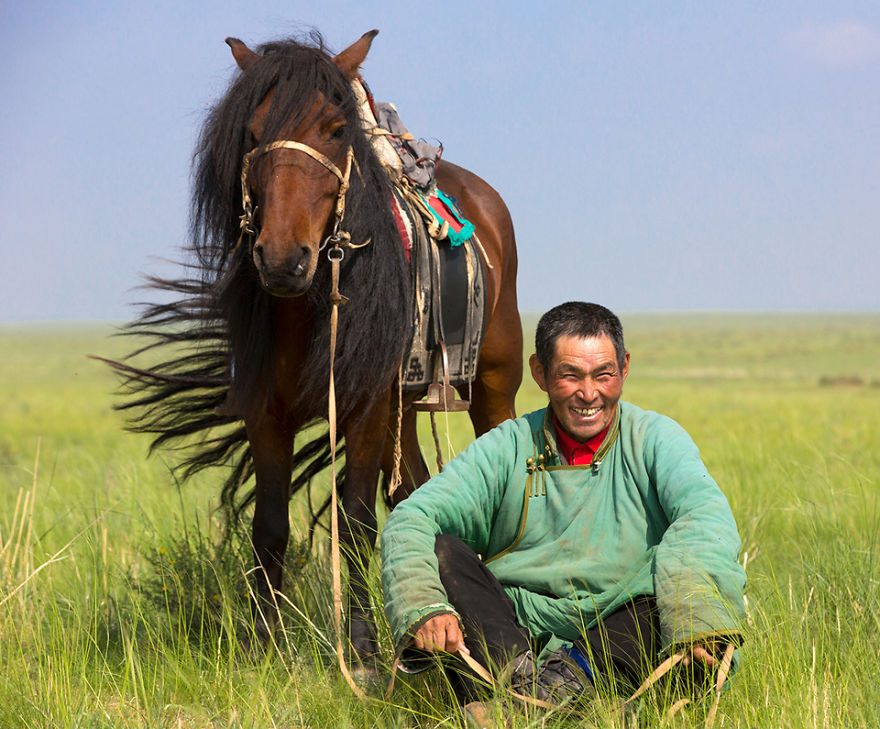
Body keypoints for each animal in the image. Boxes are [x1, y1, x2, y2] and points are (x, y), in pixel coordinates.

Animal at [103, 29, 522, 662]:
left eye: (336, 129)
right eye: (252, 131)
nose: (282, 258)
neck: (309, 308)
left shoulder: (366, 410)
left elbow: (356, 525)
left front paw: (363, 647)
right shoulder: (265, 414)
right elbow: (270, 526)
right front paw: (263, 644)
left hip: (491, 385)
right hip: (403, 408)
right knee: (413, 491)